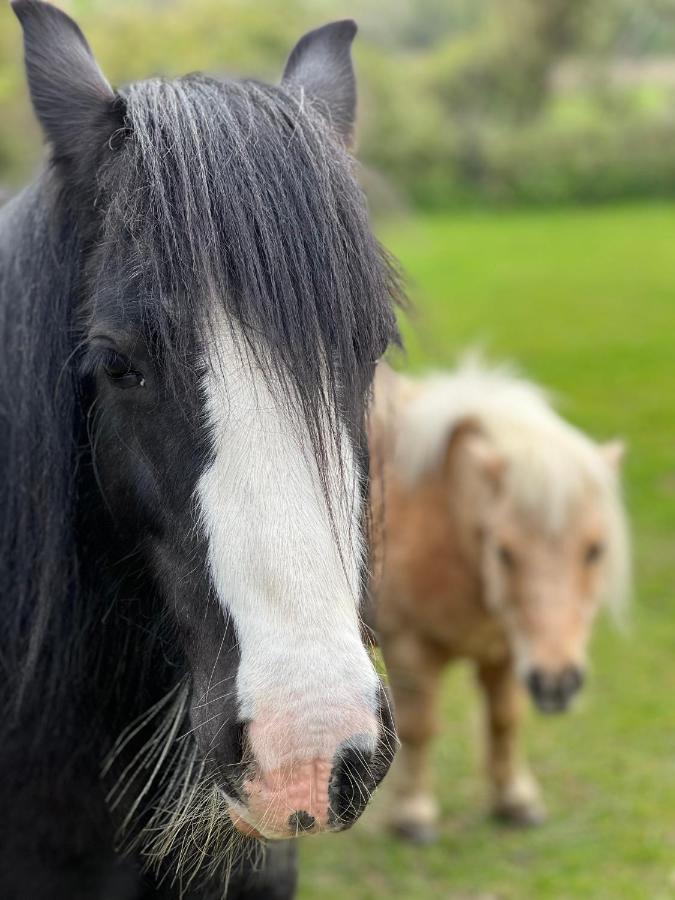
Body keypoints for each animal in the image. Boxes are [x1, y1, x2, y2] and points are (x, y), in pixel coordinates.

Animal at [368, 356, 632, 844]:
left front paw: (514, 800)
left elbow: (505, 720)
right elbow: (419, 727)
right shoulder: (408, 648)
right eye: (505, 552)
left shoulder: (507, 649)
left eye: (595, 550)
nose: (557, 683)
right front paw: (413, 813)